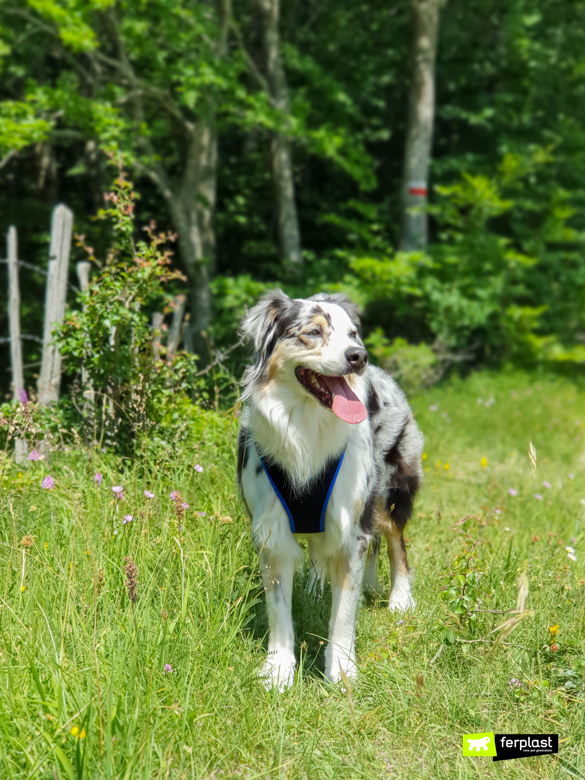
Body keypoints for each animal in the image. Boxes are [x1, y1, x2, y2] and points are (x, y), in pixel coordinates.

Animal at [237, 288, 424, 688]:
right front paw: (279, 670)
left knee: (396, 541)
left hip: (389, 490)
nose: (359, 357)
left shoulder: (351, 526)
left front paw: (341, 670)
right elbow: (278, 610)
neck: (307, 427)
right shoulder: (272, 530)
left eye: (352, 333)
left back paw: (400, 599)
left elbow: (344, 612)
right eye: (313, 332)